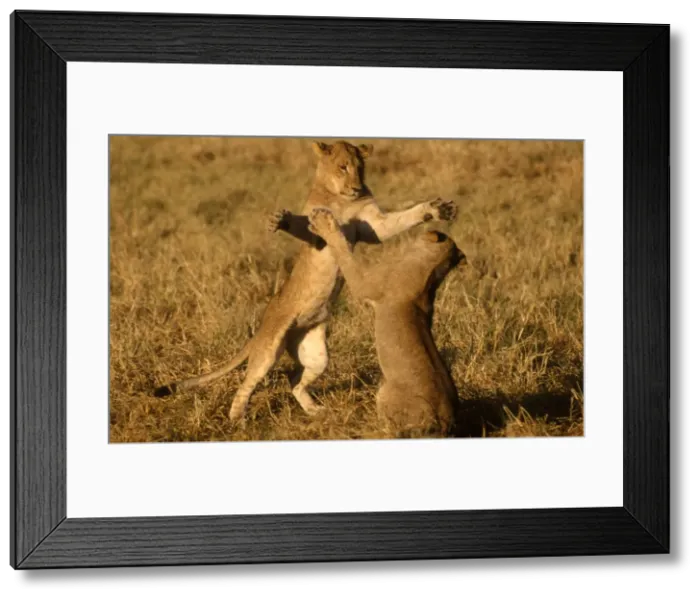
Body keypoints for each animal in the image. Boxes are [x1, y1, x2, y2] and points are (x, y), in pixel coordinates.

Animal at [153, 140, 457, 424]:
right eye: (343, 167)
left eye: (360, 168)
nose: (357, 187)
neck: (342, 198)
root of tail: (262, 329)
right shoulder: (315, 233)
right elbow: (307, 227)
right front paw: (280, 221)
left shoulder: (373, 226)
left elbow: (399, 221)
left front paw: (436, 209)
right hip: (270, 347)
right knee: (247, 382)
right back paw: (236, 417)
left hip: (316, 353)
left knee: (294, 381)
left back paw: (314, 410)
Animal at [306, 207, 466, 436]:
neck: (430, 272)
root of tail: (445, 423)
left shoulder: (365, 281)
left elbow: (344, 250)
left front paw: (324, 223)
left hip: (384, 392)